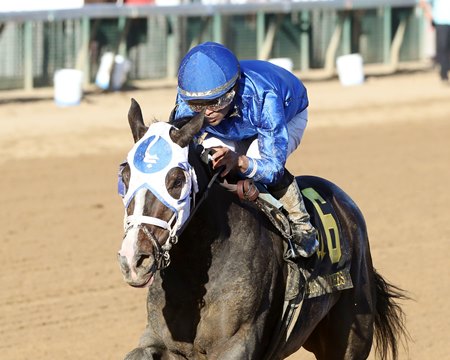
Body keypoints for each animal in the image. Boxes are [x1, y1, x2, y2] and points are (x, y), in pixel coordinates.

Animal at [117, 97, 408, 358]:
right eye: (125, 175)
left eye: (176, 180)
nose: (134, 259)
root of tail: (347, 203)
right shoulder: (161, 339)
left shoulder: (236, 345)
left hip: (351, 334)